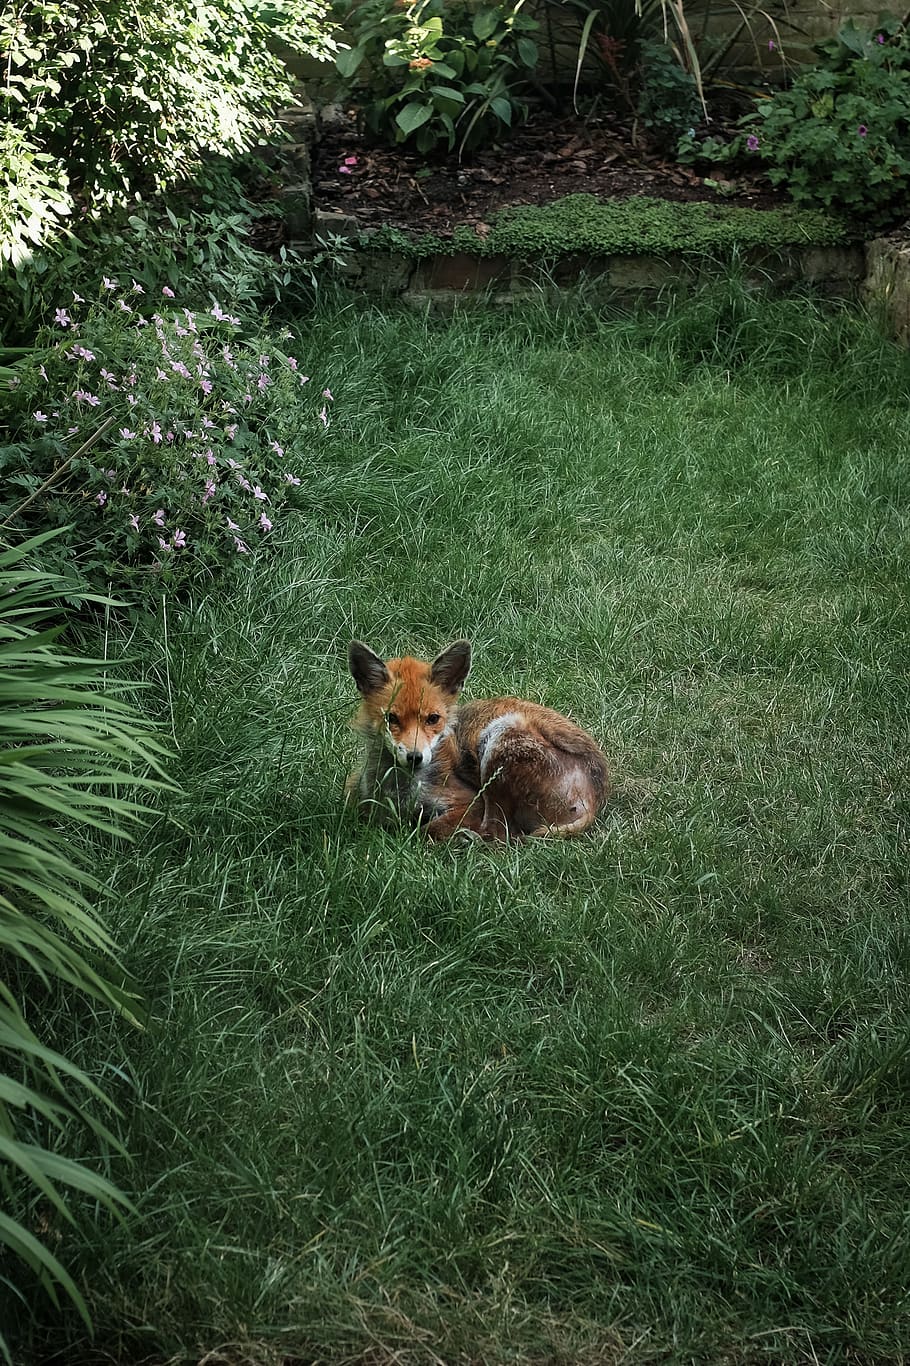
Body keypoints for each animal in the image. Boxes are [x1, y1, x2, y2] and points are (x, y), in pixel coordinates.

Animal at [346, 639, 610, 842]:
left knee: (500, 835)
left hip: (499, 739)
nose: (414, 757)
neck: (401, 791)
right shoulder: (359, 796)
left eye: (433, 719)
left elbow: (428, 829)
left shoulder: (471, 802)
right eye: (391, 718)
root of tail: (597, 794)